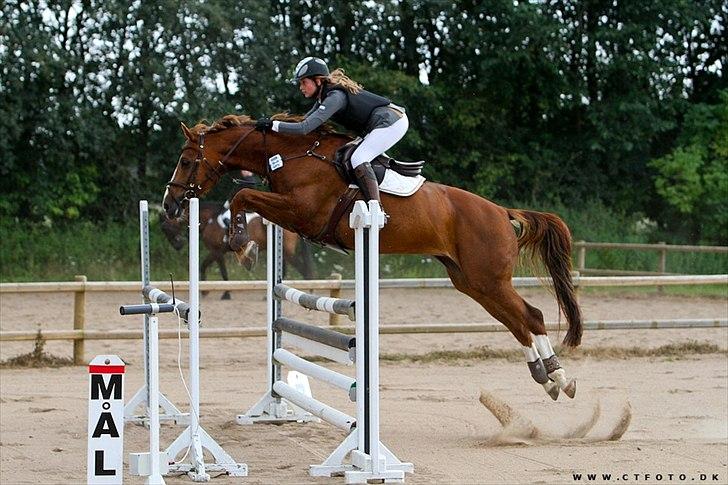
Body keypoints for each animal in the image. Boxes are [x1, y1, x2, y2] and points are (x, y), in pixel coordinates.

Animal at [161, 198, 314, 296]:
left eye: (166, 229)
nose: (178, 246)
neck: (209, 219)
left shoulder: (216, 252)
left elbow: (219, 271)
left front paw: (224, 294)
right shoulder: (217, 252)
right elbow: (206, 267)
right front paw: (206, 291)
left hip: (287, 252)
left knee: (303, 269)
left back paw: (309, 289)